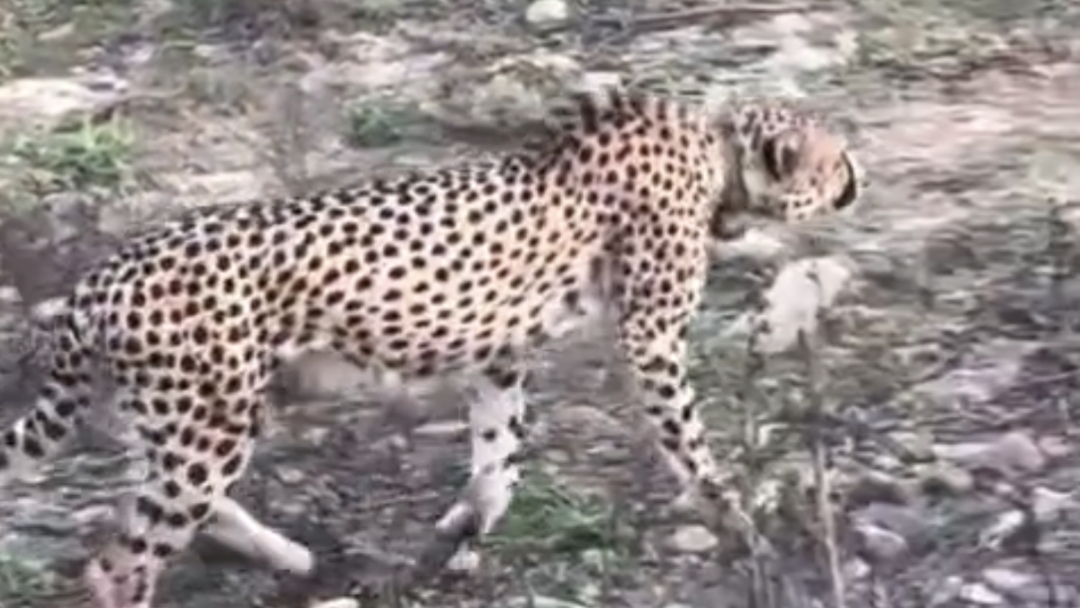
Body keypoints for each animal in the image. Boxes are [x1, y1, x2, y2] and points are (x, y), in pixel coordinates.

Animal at [0, 87, 860, 608]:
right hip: (205, 422)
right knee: (122, 559)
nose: (857, 179)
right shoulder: (650, 338)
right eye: (836, 156)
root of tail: (102, 275)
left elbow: (498, 451)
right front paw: (740, 521)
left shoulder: (500, 351)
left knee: (161, 501)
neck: (717, 152)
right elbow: (689, 445)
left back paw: (292, 559)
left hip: (198, 415)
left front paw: (465, 526)